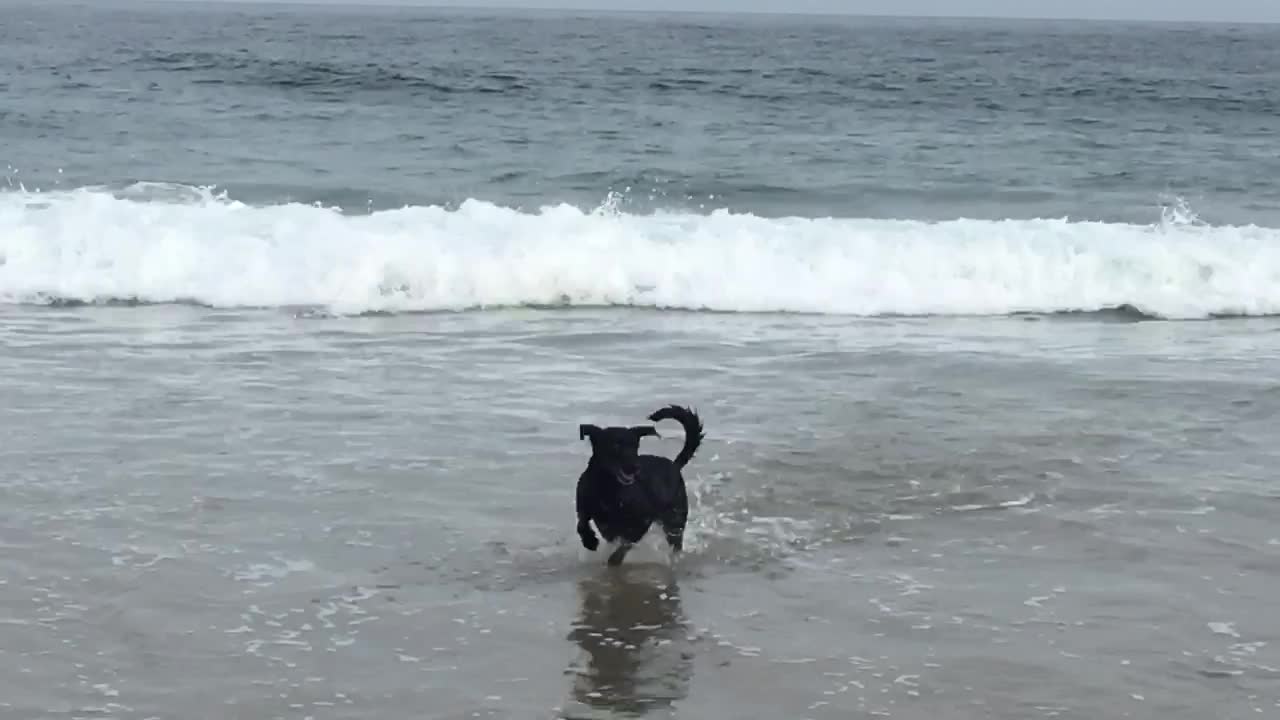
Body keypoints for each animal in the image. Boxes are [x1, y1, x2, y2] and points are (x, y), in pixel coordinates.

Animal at [576, 404, 706, 566]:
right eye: (616, 445)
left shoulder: (642, 522)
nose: (635, 467)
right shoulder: (584, 506)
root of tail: (674, 465)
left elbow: (626, 544)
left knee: (675, 541)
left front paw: (614, 560)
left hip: (675, 520)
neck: (609, 487)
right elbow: (581, 523)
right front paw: (589, 540)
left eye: (635, 446)